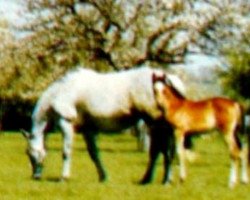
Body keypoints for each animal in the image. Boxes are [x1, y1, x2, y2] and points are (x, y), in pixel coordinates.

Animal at [21, 66, 185, 182]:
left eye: (29, 152)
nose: (36, 176)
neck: (59, 93)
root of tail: (163, 76)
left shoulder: (66, 124)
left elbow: (66, 152)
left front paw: (64, 177)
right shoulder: (88, 130)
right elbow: (94, 154)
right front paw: (103, 177)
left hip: (154, 123)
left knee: (160, 150)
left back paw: (158, 180)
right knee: (165, 150)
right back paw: (158, 179)